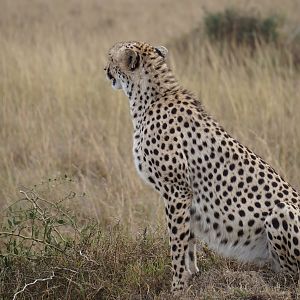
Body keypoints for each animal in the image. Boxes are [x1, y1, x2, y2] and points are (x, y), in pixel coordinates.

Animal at [105, 39, 300, 292]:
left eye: (111, 58)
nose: (105, 71)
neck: (152, 98)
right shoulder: (185, 196)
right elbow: (188, 239)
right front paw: (193, 275)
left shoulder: (176, 191)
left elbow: (177, 242)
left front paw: (177, 286)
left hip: (281, 210)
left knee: (292, 274)